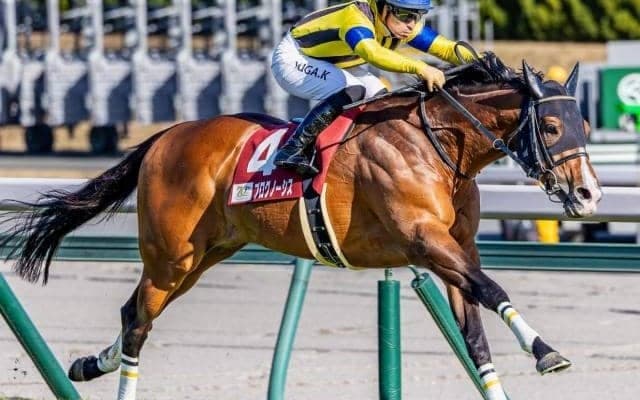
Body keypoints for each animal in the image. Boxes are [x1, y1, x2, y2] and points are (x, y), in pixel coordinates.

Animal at [1, 54, 601, 400]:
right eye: (551, 126)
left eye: (586, 125)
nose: (590, 193)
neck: (436, 143)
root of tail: (166, 136)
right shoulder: (422, 239)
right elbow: (492, 288)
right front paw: (546, 351)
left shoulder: (454, 250)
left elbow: (475, 336)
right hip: (170, 254)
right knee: (138, 320)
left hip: (205, 254)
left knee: (135, 315)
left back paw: (88, 364)